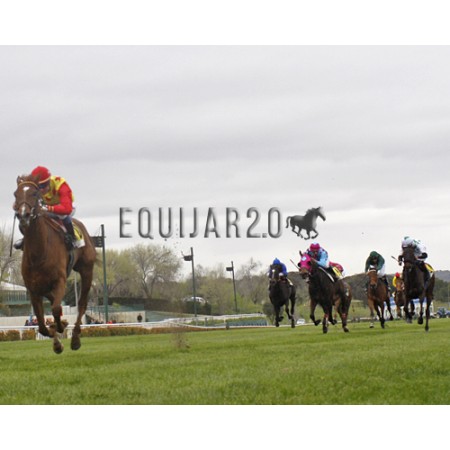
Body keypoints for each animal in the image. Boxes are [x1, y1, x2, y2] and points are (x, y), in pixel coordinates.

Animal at [14, 174, 97, 353]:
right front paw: (56, 341)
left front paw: (60, 328)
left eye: (34, 193)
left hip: (87, 269)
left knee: (82, 304)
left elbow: (57, 310)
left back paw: (75, 338)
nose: (23, 216)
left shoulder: (60, 280)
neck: (39, 253)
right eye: (15, 194)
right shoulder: (33, 288)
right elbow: (41, 326)